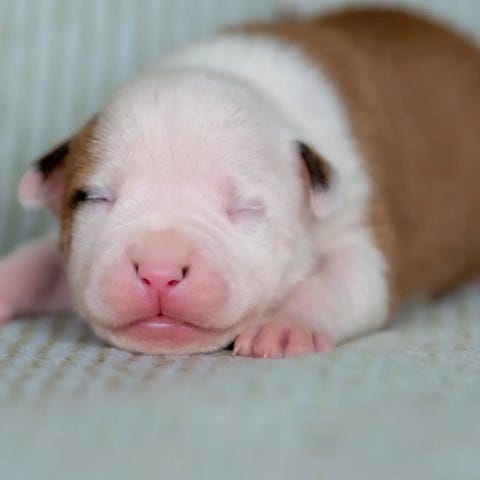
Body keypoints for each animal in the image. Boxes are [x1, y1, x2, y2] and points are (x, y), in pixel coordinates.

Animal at [1, 8, 480, 358]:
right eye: (94, 198)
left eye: (245, 208)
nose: (159, 272)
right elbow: (36, 263)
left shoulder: (357, 224)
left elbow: (340, 281)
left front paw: (284, 325)